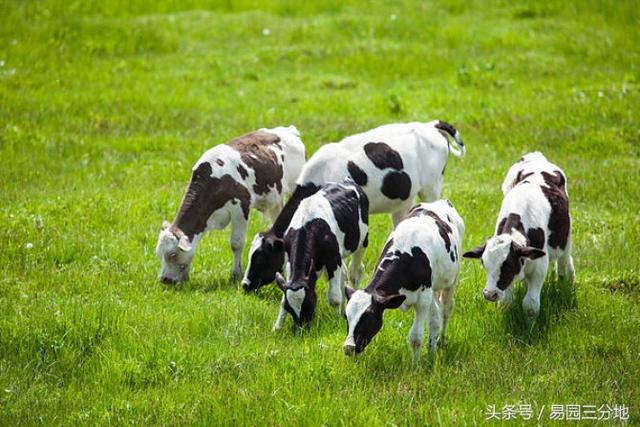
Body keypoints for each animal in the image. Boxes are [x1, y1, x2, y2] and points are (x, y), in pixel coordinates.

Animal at [154, 128, 304, 288]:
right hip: (276, 200)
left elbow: (236, 243)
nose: (164, 279)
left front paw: (236, 274)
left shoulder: (240, 207)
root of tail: (287, 130)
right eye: (158, 253)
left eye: (173, 255)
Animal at [272, 179, 370, 330]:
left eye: (310, 304)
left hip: (362, 241)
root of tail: (347, 181)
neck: (307, 226)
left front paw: (336, 323)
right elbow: (284, 297)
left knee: (355, 272)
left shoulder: (333, 259)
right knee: (344, 274)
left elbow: (334, 297)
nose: (301, 329)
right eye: (290, 308)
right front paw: (277, 327)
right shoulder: (289, 260)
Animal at [342, 200, 462, 362]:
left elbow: (416, 337)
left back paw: (441, 340)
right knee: (435, 317)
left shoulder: (423, 300)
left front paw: (415, 366)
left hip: (452, 280)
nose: (349, 347)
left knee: (445, 310)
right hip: (434, 289)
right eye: (346, 316)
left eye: (369, 317)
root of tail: (440, 202)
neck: (407, 252)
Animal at [460, 152, 576, 322]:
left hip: (565, 238)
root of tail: (537, 157)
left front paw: (530, 326)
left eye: (507, 265)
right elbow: (507, 302)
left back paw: (566, 282)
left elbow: (531, 305)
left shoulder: (539, 267)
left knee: (564, 263)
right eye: (484, 264)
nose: (490, 294)